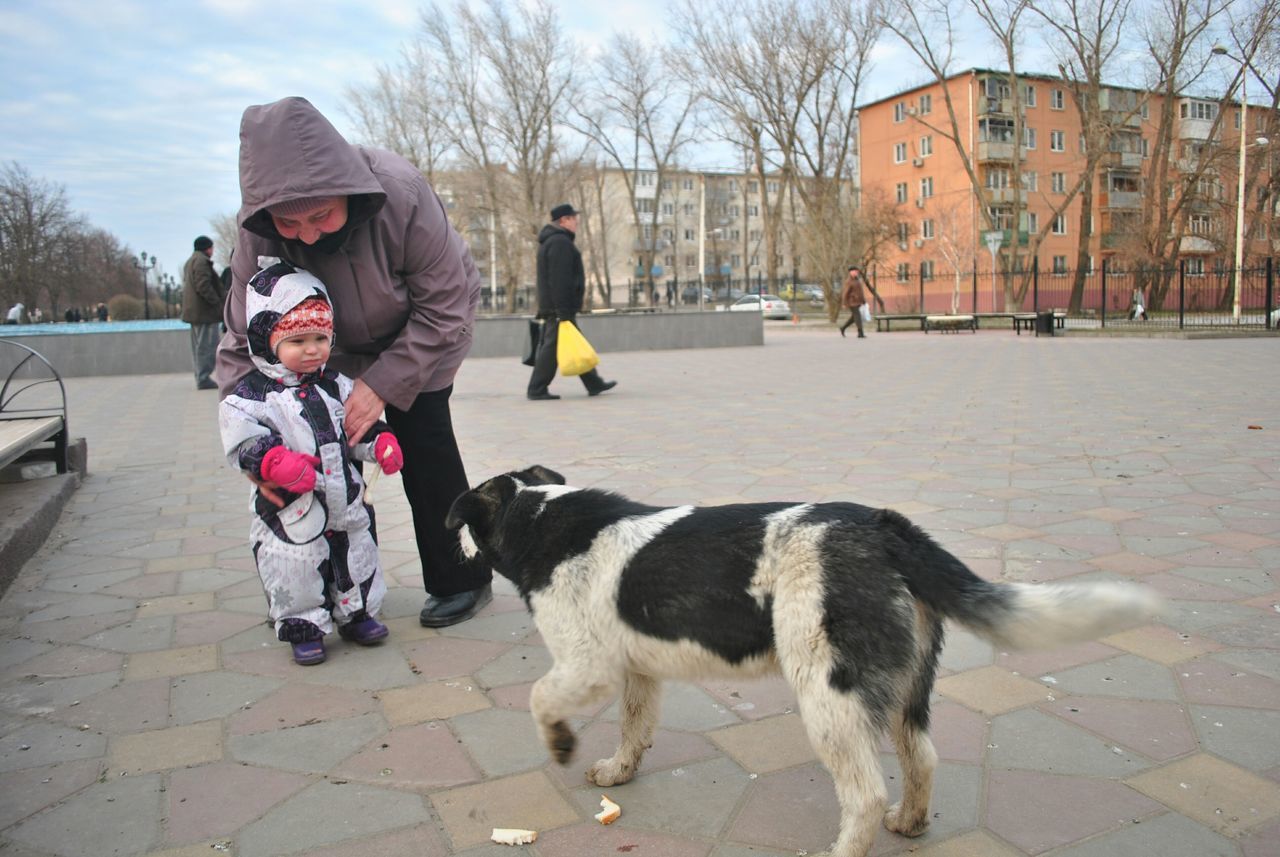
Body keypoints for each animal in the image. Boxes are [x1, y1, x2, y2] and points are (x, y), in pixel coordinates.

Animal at [445, 470, 1167, 857]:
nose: (452, 553)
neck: (539, 512)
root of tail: (886, 527)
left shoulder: (585, 663)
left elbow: (540, 699)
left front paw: (562, 746)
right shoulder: (639, 670)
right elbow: (635, 725)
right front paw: (619, 770)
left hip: (828, 693)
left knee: (866, 794)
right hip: (902, 689)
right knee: (921, 760)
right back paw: (911, 822)